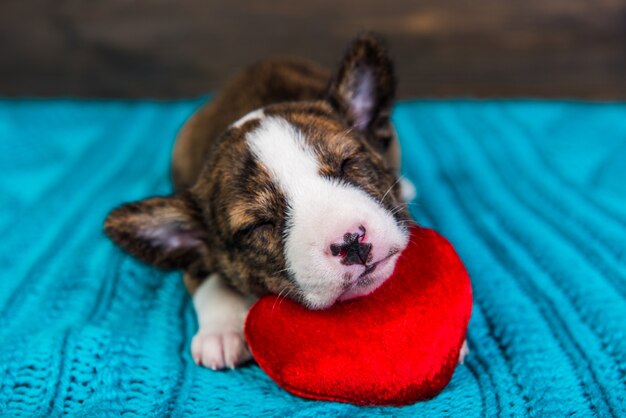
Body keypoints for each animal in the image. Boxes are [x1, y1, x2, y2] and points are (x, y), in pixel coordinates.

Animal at [103, 34, 414, 370]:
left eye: (348, 164)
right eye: (259, 224)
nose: (351, 242)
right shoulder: (195, 261)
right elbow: (211, 281)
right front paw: (221, 332)